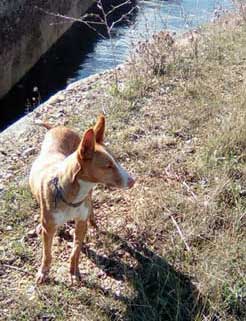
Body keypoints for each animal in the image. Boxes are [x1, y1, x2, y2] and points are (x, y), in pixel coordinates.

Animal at [30, 114, 136, 282]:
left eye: (116, 161)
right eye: (108, 166)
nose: (133, 181)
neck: (70, 196)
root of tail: (57, 127)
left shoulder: (80, 224)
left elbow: (76, 250)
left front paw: (73, 271)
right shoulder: (49, 229)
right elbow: (47, 253)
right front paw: (43, 272)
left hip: (89, 199)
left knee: (90, 207)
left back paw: (93, 222)